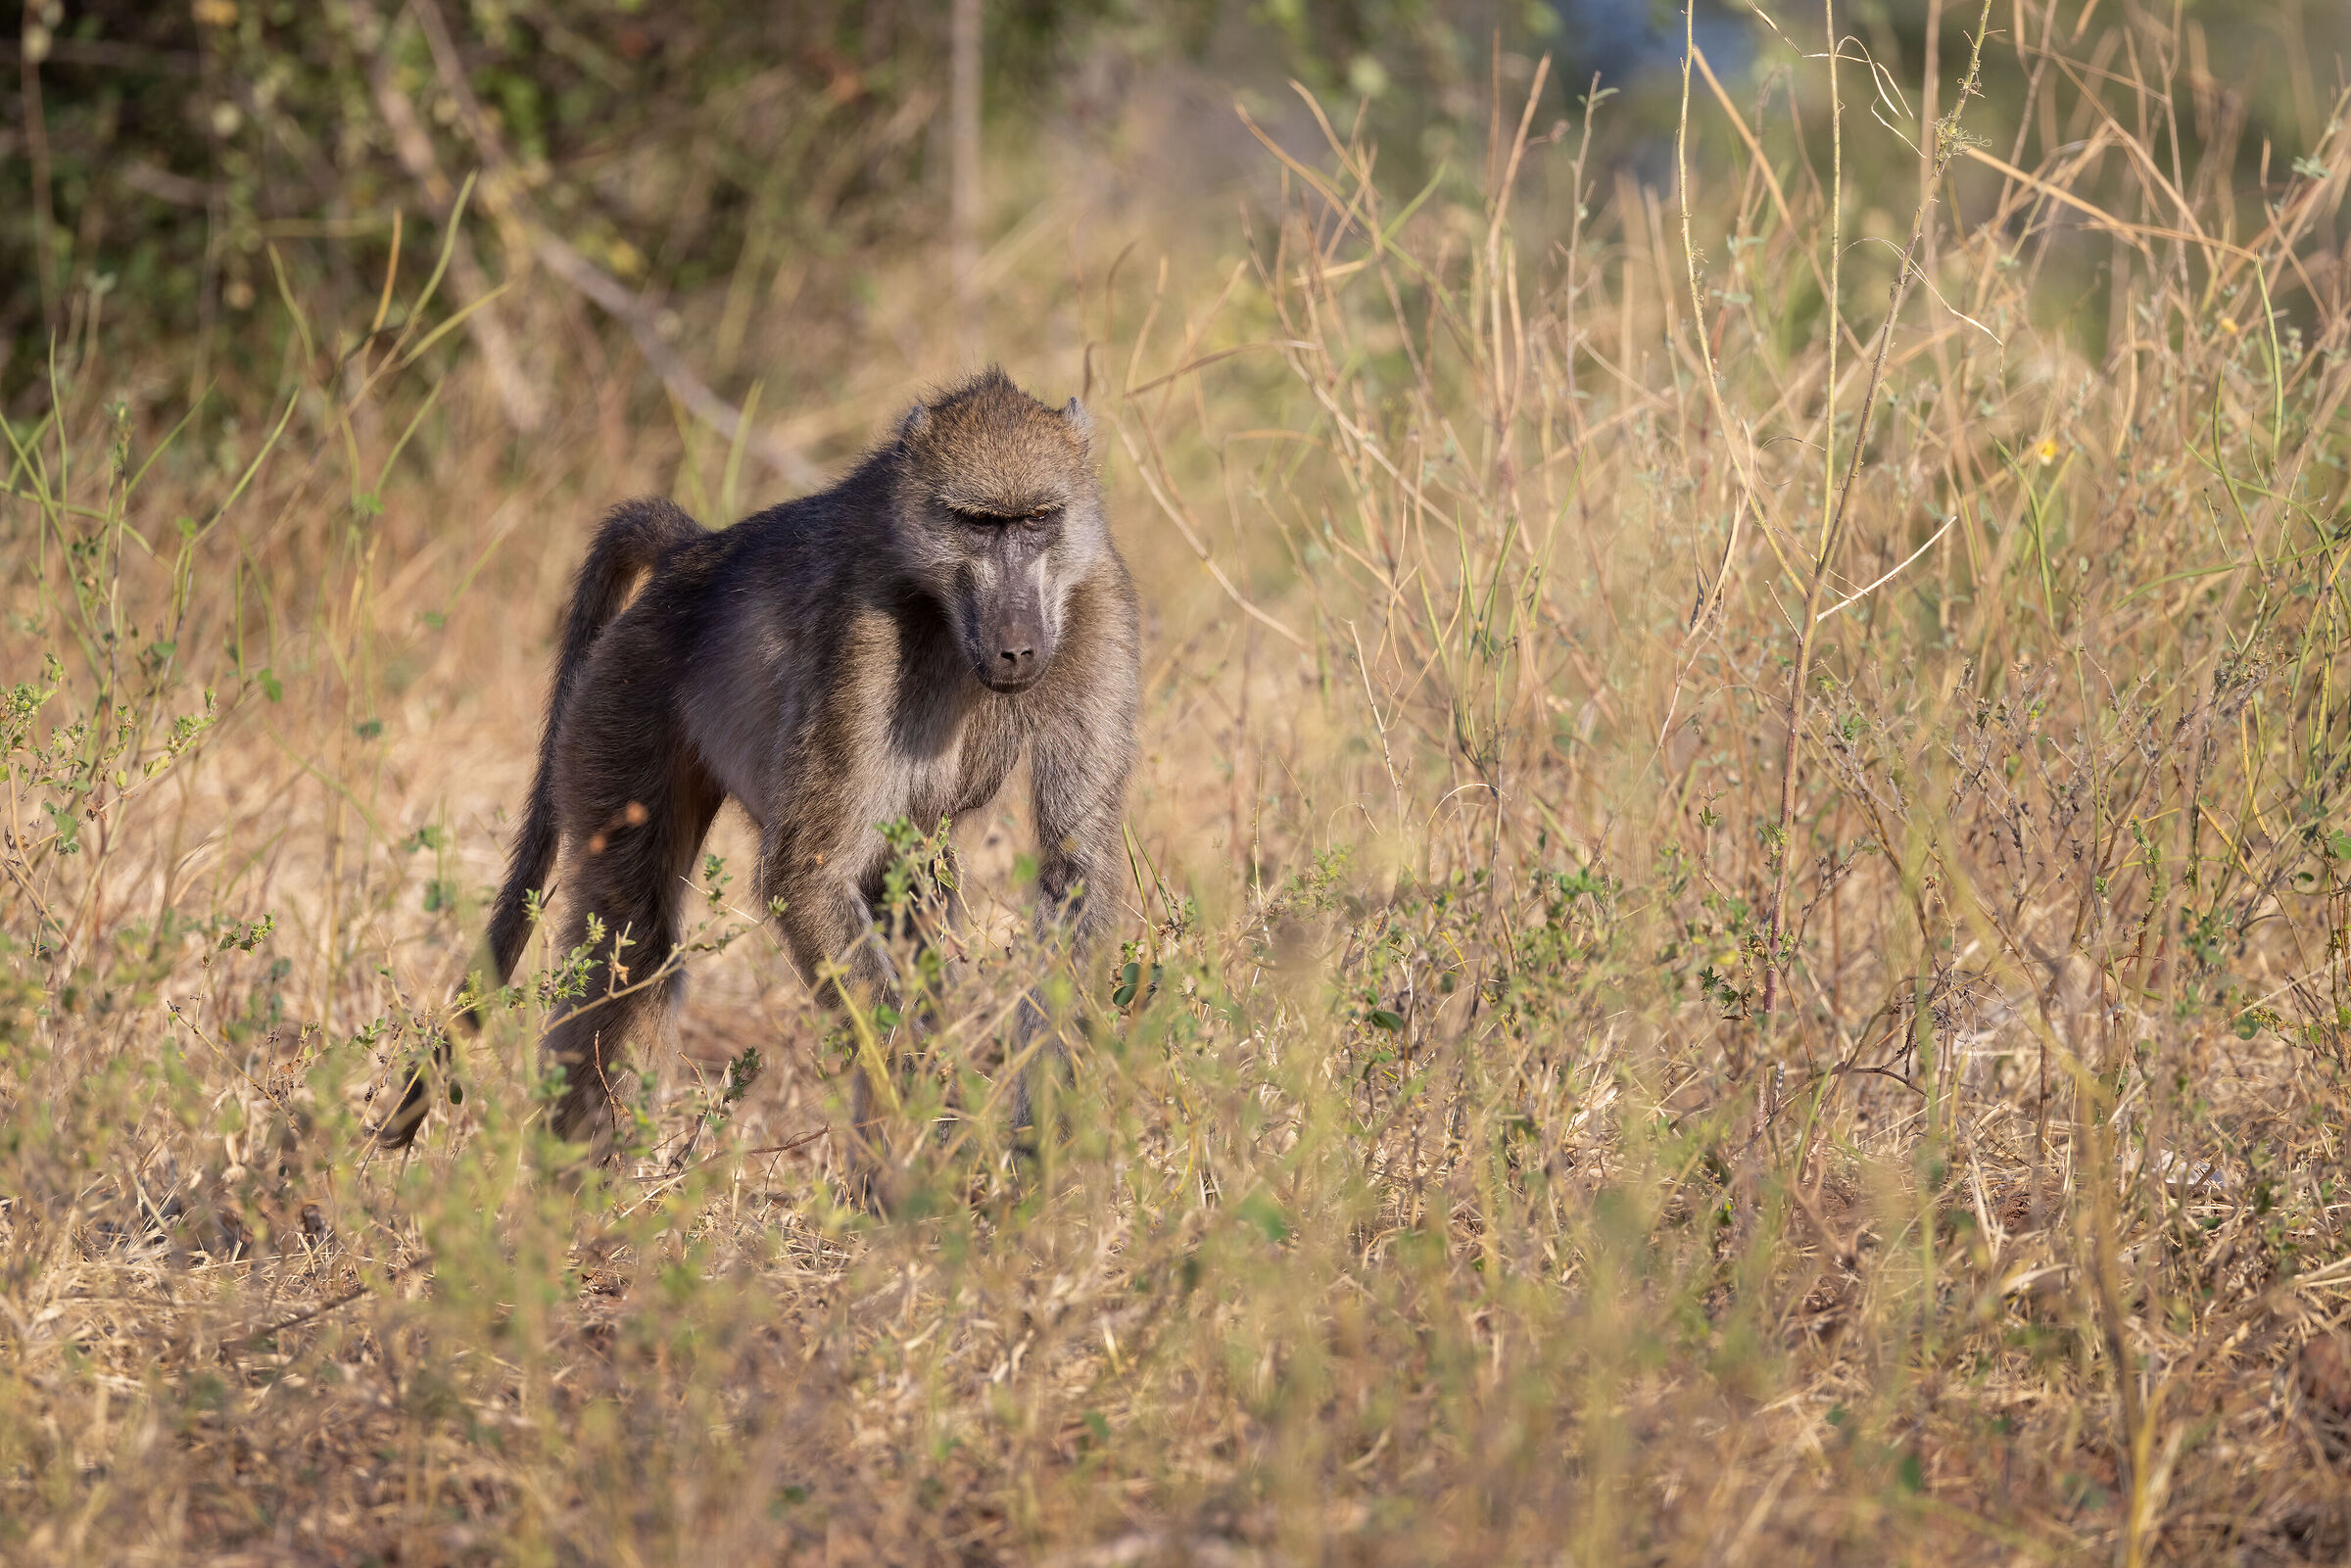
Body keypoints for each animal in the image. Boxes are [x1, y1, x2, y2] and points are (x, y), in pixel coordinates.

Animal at [376, 368, 1139, 1194]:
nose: (1017, 647)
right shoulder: (859, 634)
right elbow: (807, 872)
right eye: (978, 524)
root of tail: (693, 552)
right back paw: (569, 1201)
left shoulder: (1098, 605)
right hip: (621, 701)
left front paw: (1040, 1157)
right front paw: (941, 1138)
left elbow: (1072, 872)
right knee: (636, 941)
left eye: (1037, 521)